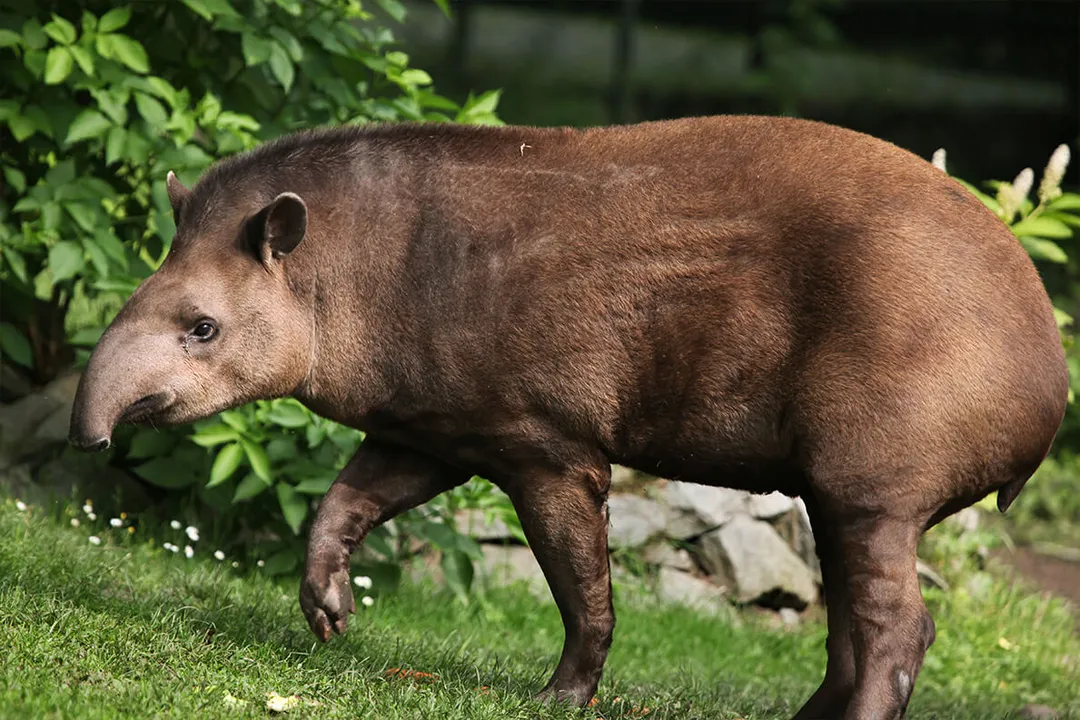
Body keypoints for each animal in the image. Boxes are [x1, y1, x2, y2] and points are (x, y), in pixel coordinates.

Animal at [69, 114, 1068, 720]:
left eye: (203, 327)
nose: (89, 433)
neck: (355, 271)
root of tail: (1053, 380)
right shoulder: (437, 421)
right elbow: (346, 502)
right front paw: (328, 614)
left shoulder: (542, 437)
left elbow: (581, 584)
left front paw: (560, 696)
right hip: (850, 484)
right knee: (852, 619)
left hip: (881, 463)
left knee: (896, 622)